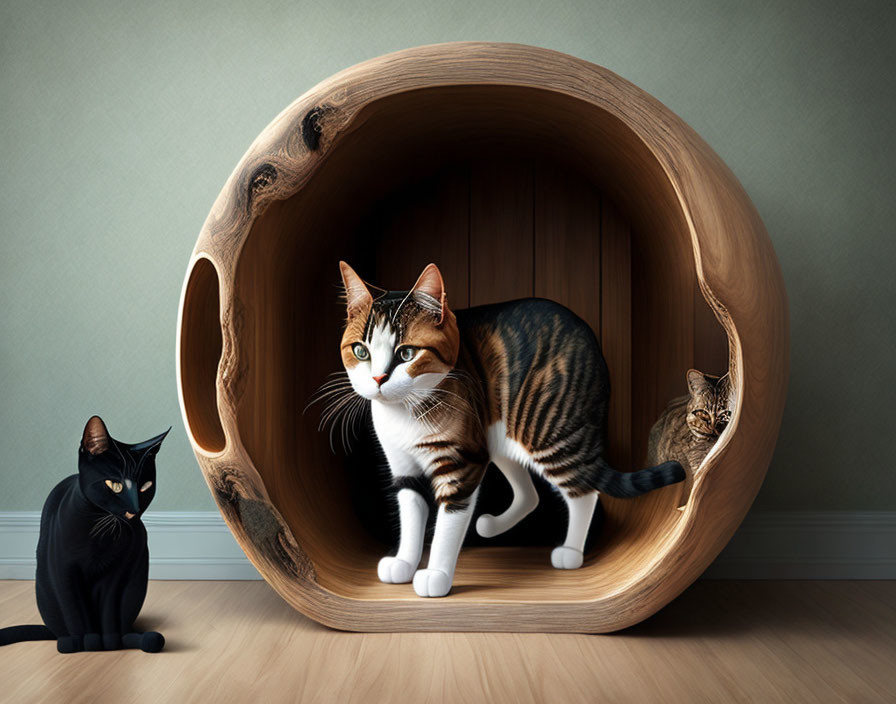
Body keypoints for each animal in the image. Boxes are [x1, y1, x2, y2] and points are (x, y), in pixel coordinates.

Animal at [0, 416, 170, 652]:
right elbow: (75, 612)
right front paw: (87, 641)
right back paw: (66, 641)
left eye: (146, 486)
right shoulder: (64, 571)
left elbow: (109, 610)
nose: (134, 510)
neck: (98, 532)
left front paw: (109, 641)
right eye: (114, 485)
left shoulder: (116, 573)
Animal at [328, 262, 688, 596]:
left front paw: (437, 576)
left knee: (584, 490)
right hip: (497, 435)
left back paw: (571, 552)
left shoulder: (463, 463)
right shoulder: (403, 464)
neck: (404, 413)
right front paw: (405, 561)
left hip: (545, 430)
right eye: (360, 351)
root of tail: (594, 348)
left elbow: (447, 522)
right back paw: (492, 525)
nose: (378, 379)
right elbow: (411, 511)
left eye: (406, 353)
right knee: (530, 494)